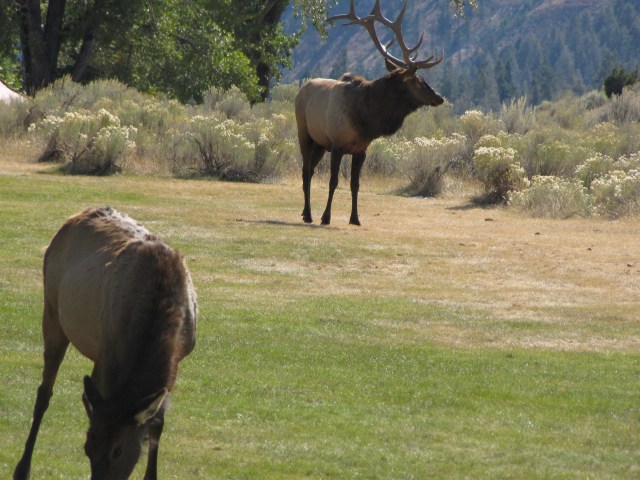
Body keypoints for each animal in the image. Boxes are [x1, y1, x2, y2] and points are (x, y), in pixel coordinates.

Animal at [14, 207, 197, 480]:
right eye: (87, 449)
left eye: (118, 451)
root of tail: (73, 217)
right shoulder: (110, 351)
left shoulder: (179, 357)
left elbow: (157, 424)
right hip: (53, 312)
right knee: (44, 391)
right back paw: (23, 467)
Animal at [295, 0, 445, 226]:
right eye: (419, 81)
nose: (440, 97)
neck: (365, 119)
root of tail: (301, 88)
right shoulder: (337, 144)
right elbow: (333, 181)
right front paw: (326, 217)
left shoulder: (361, 150)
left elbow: (355, 185)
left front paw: (355, 218)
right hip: (304, 132)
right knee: (305, 171)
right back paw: (308, 214)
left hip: (320, 144)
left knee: (310, 170)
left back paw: (306, 213)